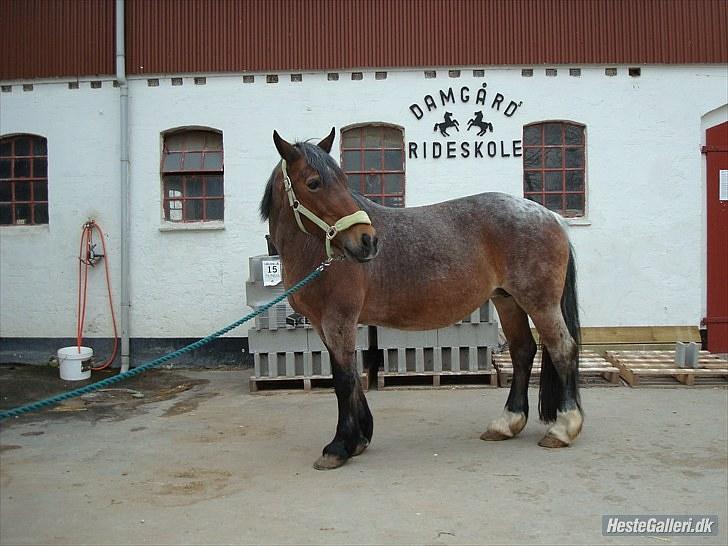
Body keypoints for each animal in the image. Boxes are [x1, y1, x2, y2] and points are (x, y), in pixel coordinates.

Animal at [258, 127, 584, 468]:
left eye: (344, 181)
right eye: (313, 183)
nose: (367, 240)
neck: (318, 251)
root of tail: (550, 216)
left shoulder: (339, 320)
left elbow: (344, 378)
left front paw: (339, 446)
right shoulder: (325, 324)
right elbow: (351, 375)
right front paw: (360, 439)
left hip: (540, 303)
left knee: (563, 349)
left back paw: (563, 427)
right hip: (508, 301)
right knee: (522, 352)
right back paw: (506, 423)